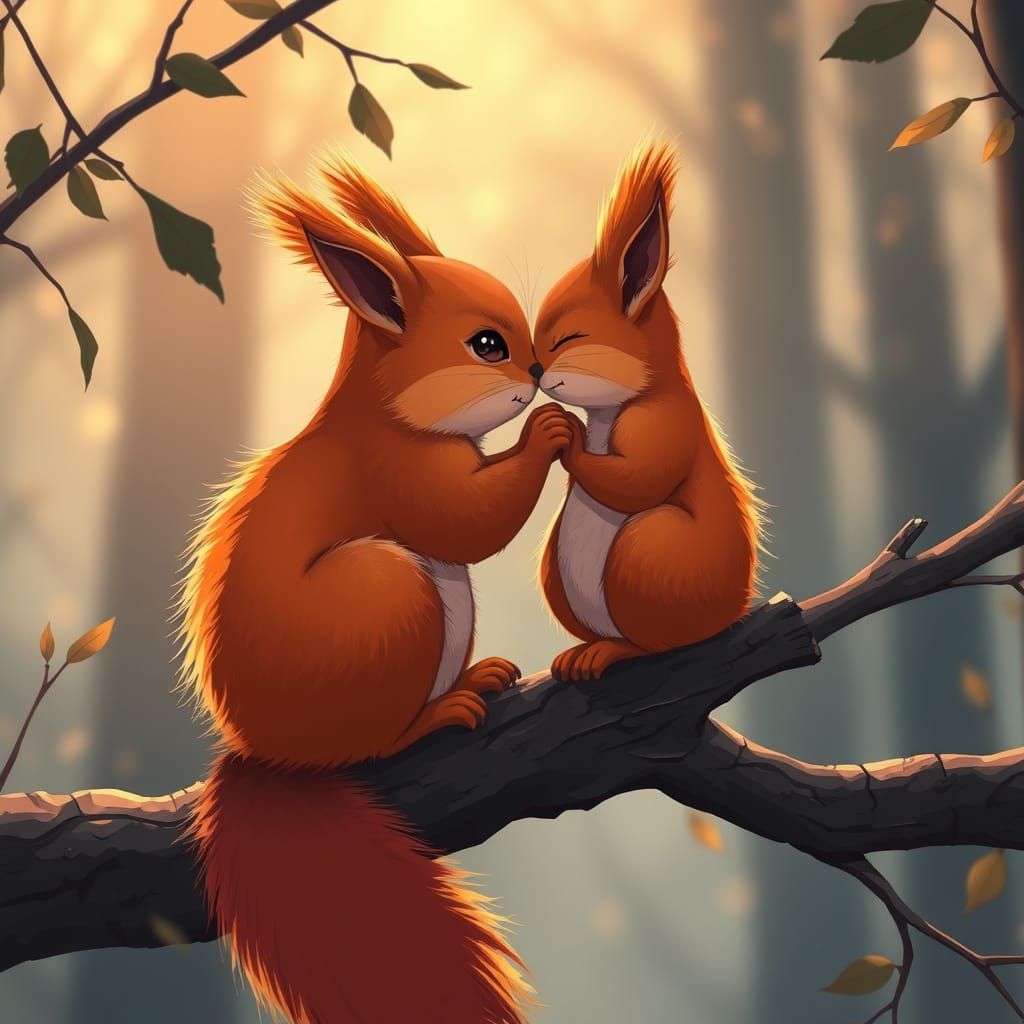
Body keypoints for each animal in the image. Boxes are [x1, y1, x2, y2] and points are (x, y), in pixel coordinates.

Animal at [177, 154, 572, 1024]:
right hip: (391, 598)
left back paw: (477, 678)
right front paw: (547, 433)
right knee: (377, 743)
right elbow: (466, 521)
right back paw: (440, 713)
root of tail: (271, 755)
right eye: (487, 344)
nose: (538, 373)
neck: (385, 408)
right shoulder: (394, 471)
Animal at [532, 141, 764, 682]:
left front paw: (567, 436)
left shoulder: (661, 420)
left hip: (649, 551)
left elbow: (639, 477)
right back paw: (579, 652)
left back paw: (610, 652)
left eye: (570, 338)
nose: (532, 369)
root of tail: (736, 607)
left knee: (655, 644)